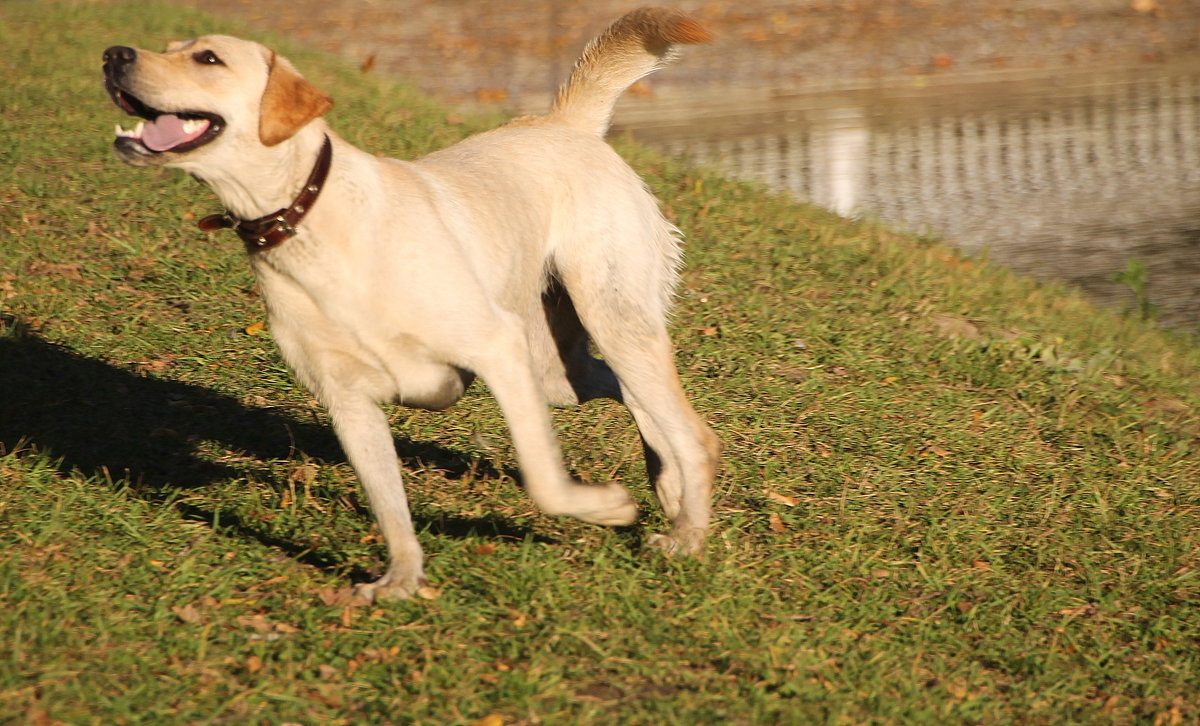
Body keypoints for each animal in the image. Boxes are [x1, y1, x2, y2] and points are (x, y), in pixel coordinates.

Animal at [103, 7, 715, 600]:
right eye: (173, 47)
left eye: (208, 58)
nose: (114, 54)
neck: (312, 222)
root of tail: (564, 124)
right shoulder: (348, 402)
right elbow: (388, 505)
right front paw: (401, 578)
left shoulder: (498, 348)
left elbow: (543, 480)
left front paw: (607, 507)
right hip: (557, 369)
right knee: (629, 391)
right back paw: (666, 480)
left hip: (605, 318)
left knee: (693, 432)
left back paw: (687, 532)